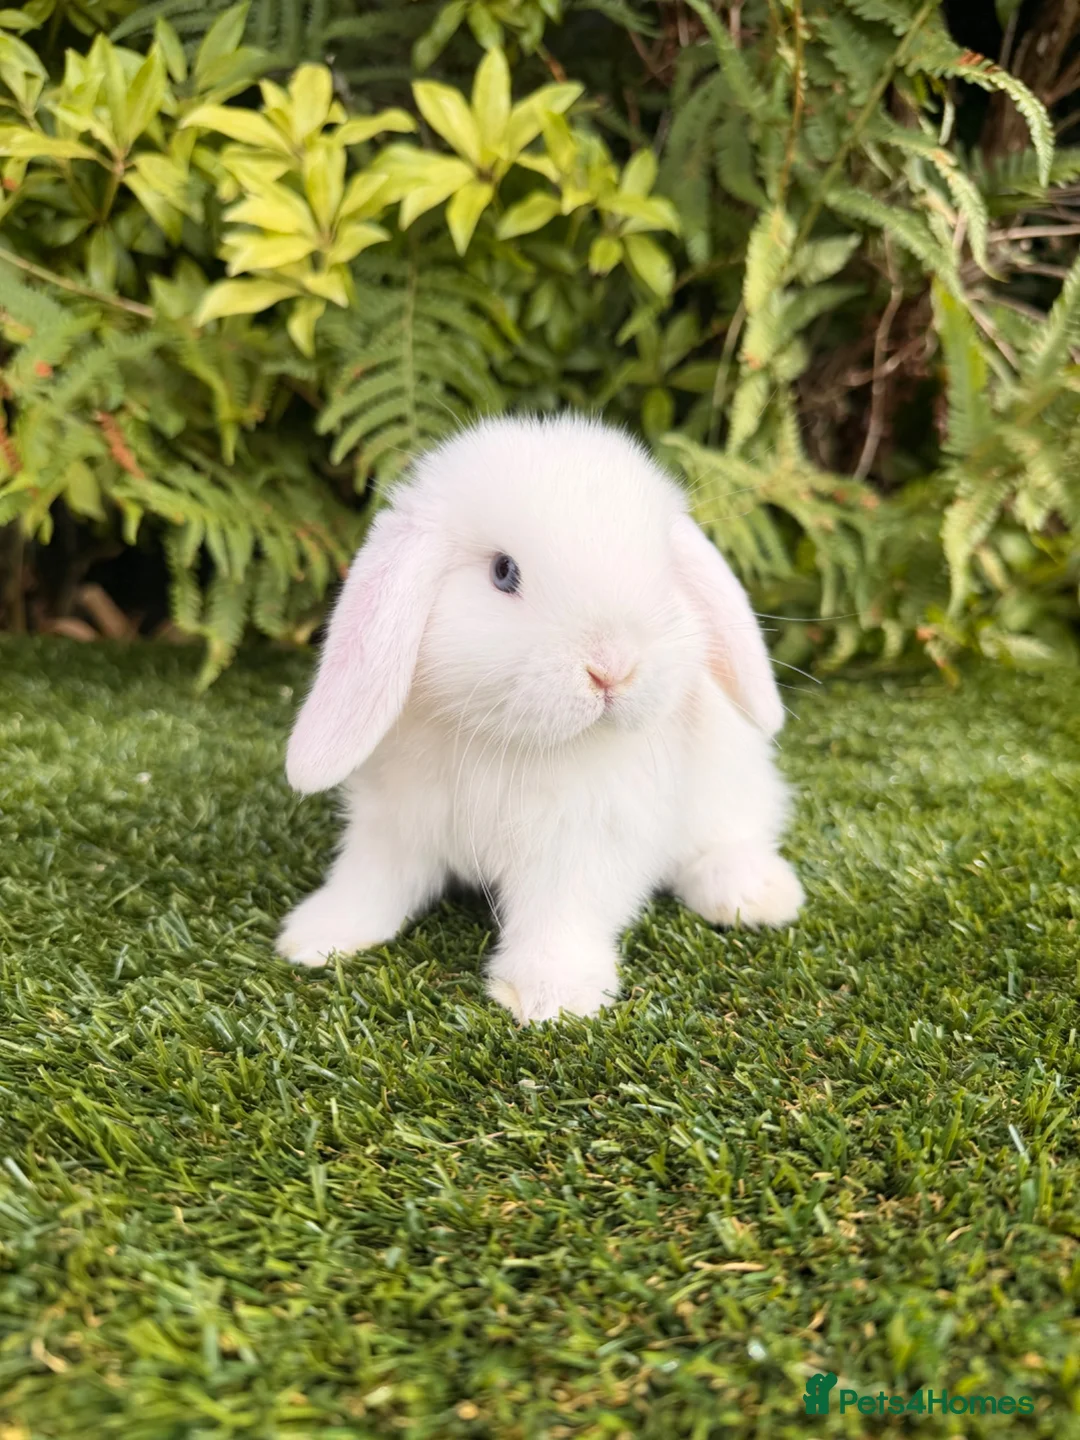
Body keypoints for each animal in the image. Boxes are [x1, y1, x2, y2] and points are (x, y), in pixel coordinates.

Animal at [278, 415, 803, 1022]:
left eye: (664, 573)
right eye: (504, 572)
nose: (613, 667)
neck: (505, 741)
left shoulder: (582, 845)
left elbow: (560, 916)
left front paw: (551, 996)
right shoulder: (393, 825)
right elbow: (370, 882)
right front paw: (318, 937)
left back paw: (756, 895)